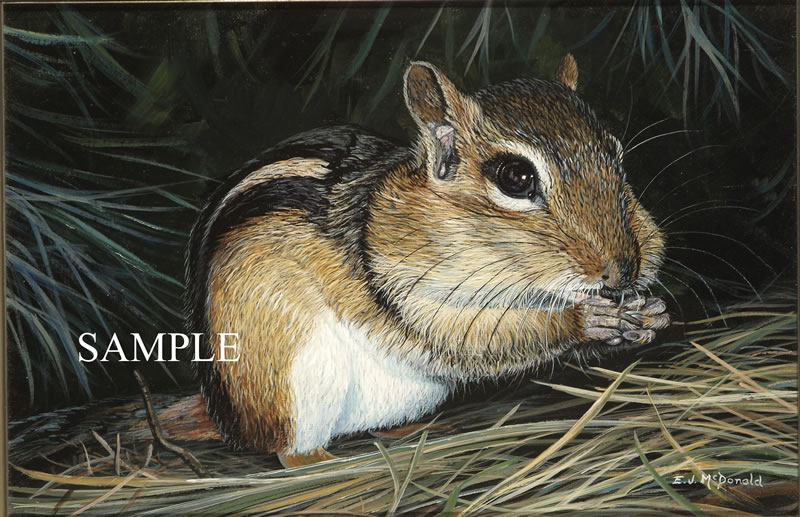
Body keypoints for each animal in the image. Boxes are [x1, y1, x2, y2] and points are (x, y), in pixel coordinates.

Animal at [185, 54, 670, 467]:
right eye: (515, 178)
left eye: (616, 153)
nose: (624, 269)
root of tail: (229, 418)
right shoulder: (403, 288)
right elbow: (471, 335)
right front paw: (583, 320)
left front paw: (651, 314)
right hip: (286, 378)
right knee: (288, 450)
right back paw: (320, 458)